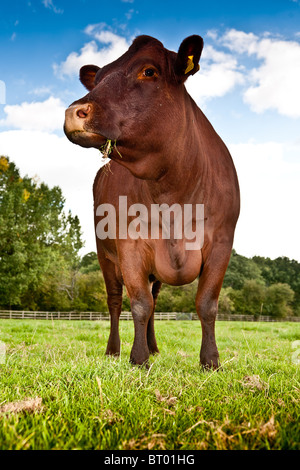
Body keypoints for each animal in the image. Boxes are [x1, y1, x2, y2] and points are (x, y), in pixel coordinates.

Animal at [64, 35, 240, 370]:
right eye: (100, 77)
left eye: (149, 72)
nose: (75, 111)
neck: (174, 194)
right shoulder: (129, 246)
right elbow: (139, 304)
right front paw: (138, 358)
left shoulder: (222, 242)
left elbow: (206, 304)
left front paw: (210, 361)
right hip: (105, 255)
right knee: (115, 301)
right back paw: (114, 349)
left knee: (156, 300)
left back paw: (155, 346)